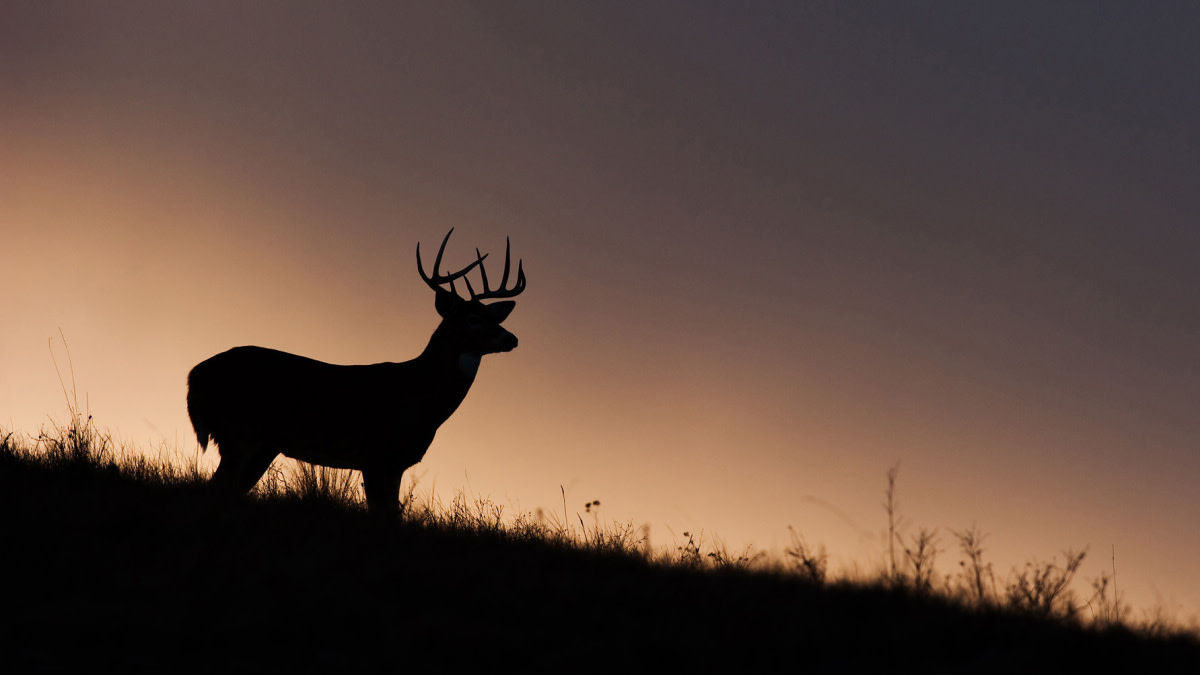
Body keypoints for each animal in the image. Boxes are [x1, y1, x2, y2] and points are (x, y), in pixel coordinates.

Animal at [186, 228, 526, 513]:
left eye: (494, 318)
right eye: (473, 319)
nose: (512, 338)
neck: (418, 396)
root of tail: (195, 375)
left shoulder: (396, 464)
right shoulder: (375, 456)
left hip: (262, 445)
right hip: (238, 431)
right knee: (213, 491)